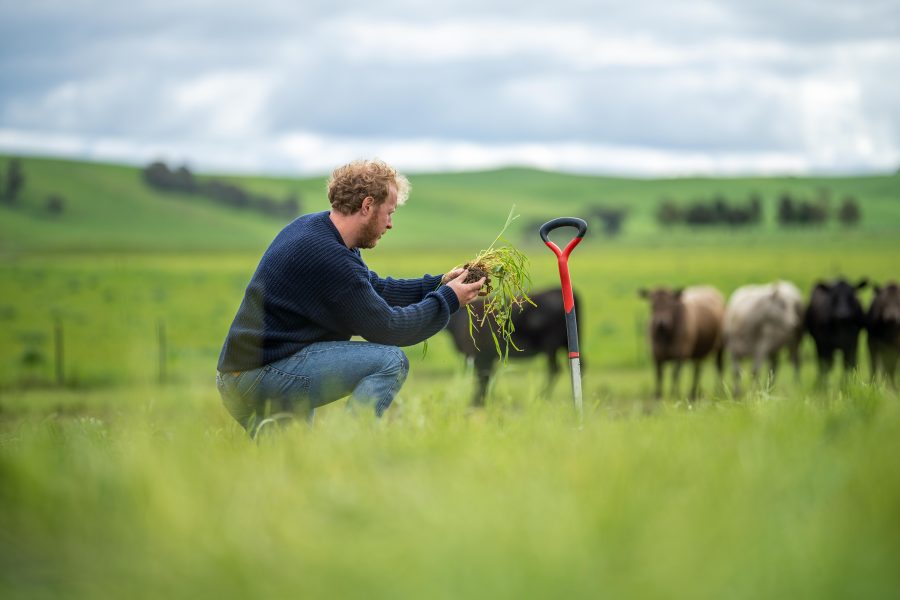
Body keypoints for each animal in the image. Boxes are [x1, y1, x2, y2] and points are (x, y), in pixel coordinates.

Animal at [444, 288, 584, 408]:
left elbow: (483, 378)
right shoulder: (488, 357)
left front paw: (477, 401)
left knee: (554, 369)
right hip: (566, 344)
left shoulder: (479, 356)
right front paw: (484, 400)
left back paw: (540, 396)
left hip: (551, 345)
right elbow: (487, 378)